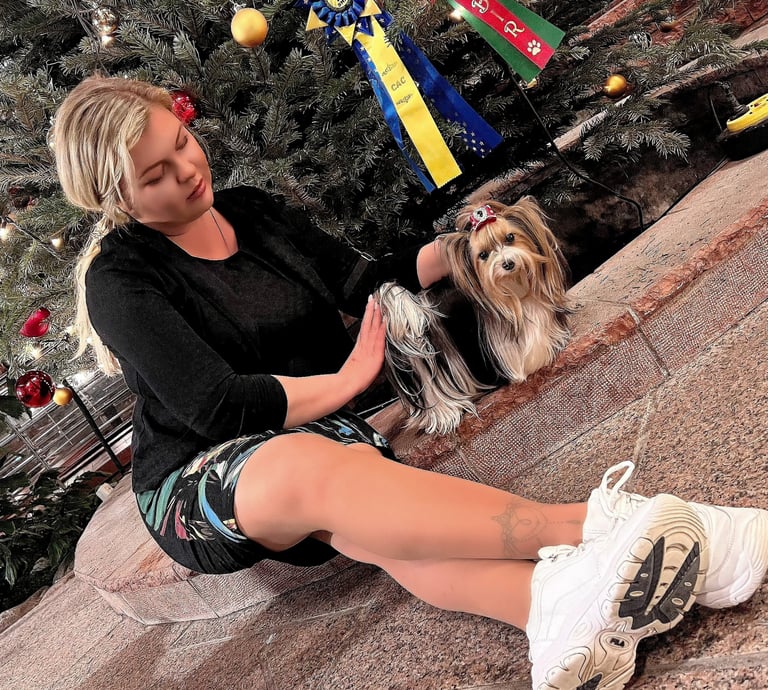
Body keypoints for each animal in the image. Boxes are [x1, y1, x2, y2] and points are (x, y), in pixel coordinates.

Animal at [375, 197, 571, 434]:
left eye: (510, 237)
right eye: (483, 255)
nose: (507, 263)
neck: (516, 294)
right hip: (425, 366)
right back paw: (447, 414)